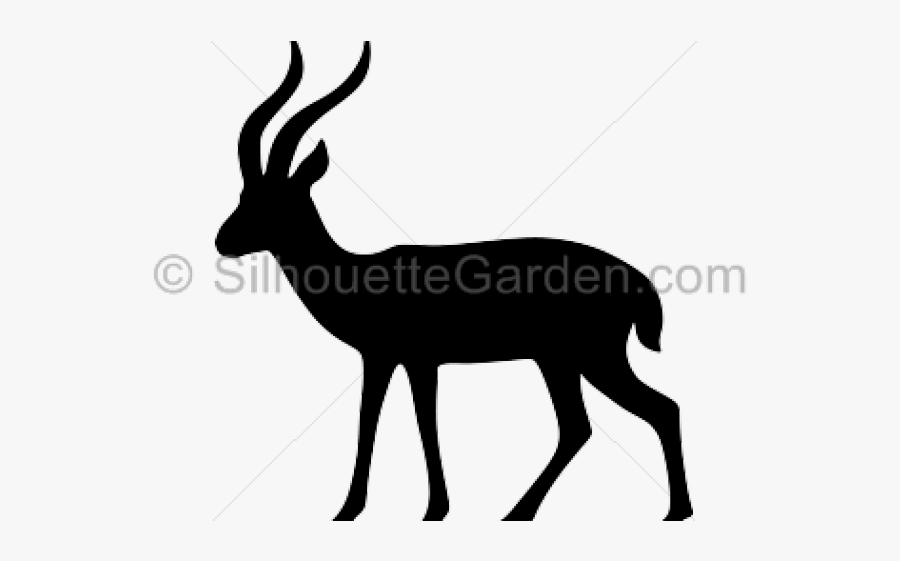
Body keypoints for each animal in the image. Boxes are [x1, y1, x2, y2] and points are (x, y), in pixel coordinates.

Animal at [215, 41, 693, 521]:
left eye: (274, 201)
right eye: (244, 194)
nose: (222, 240)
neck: (356, 276)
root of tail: (636, 281)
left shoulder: (412, 358)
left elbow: (412, 422)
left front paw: (417, 509)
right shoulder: (390, 359)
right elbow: (385, 419)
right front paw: (366, 509)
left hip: (592, 357)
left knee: (658, 409)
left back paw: (673, 512)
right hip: (558, 360)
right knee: (581, 426)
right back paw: (519, 512)